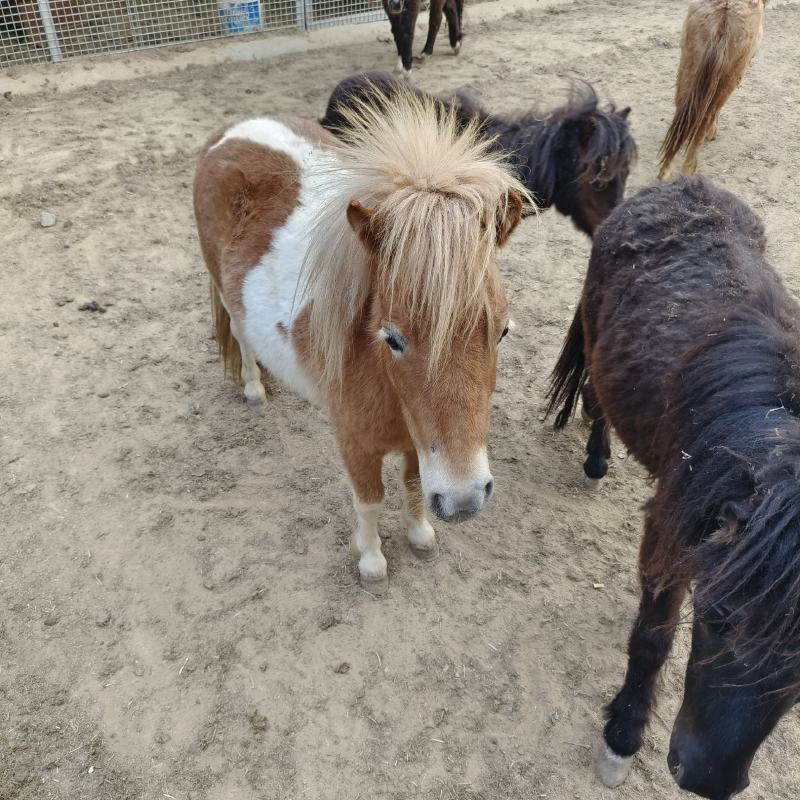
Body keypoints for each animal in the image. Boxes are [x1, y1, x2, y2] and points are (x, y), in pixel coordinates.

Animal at [193, 91, 526, 594]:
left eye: (502, 331)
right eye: (392, 338)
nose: (464, 499)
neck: (382, 377)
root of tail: (233, 131)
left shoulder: (416, 442)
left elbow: (412, 486)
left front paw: (421, 535)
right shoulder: (354, 442)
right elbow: (370, 500)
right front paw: (370, 561)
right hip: (224, 292)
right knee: (239, 334)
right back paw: (254, 387)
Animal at [546, 175, 800, 799]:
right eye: (718, 616)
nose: (709, 779)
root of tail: (683, 185)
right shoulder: (670, 529)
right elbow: (654, 637)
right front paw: (623, 735)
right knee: (595, 393)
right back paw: (596, 456)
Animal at [658, 0, 767, 181]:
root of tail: (723, 19)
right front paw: (712, 132)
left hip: (690, 63)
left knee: (683, 110)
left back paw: (665, 171)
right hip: (730, 73)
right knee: (707, 113)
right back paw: (689, 168)